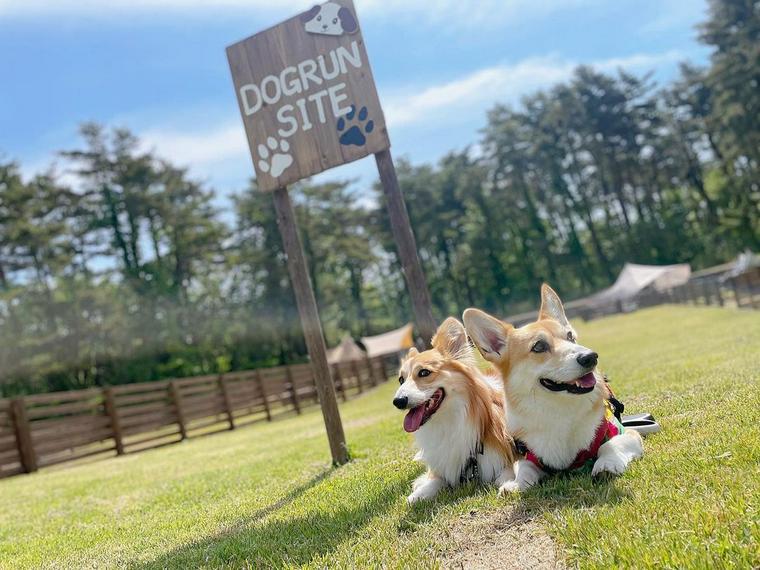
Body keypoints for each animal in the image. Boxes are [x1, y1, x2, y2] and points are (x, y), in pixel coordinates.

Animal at [394, 316, 512, 502]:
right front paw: (418, 493)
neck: (451, 420)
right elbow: (435, 479)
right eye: (401, 380)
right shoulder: (447, 463)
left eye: (424, 372)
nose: (397, 401)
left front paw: (510, 483)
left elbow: (508, 470)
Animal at [464, 284, 640, 492]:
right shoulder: (526, 454)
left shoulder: (627, 434)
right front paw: (515, 485)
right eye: (539, 346)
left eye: (570, 336)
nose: (590, 357)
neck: (558, 408)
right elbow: (524, 467)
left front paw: (606, 465)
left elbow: (610, 445)